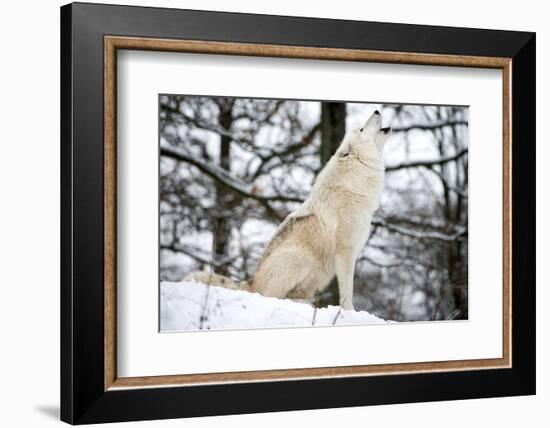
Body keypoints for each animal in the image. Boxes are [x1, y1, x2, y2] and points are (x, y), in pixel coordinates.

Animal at [188, 109, 390, 310]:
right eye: (362, 129)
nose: (376, 110)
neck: (353, 186)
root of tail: (251, 283)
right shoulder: (346, 251)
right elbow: (348, 289)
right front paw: (349, 311)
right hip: (302, 257)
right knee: (273, 297)